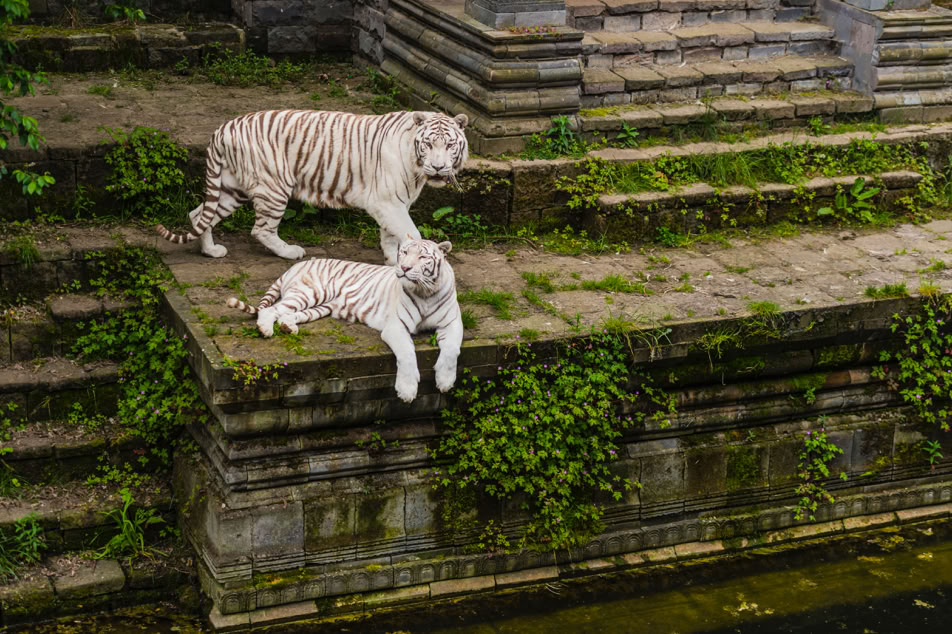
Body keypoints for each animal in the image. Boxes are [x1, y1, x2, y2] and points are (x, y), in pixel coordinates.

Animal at [155, 109, 469, 264]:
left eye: (449, 145)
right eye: (428, 143)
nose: (438, 167)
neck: (416, 167)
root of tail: (224, 128)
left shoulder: (393, 204)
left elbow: (392, 235)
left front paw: (394, 260)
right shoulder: (387, 202)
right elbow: (410, 233)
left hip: (232, 188)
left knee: (198, 214)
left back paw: (210, 251)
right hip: (274, 187)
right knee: (261, 229)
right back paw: (290, 252)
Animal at [226, 238, 462, 403]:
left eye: (422, 257)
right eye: (404, 253)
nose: (404, 268)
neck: (425, 292)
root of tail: (295, 266)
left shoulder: (453, 324)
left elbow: (452, 350)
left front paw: (445, 382)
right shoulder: (396, 326)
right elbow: (407, 353)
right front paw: (407, 391)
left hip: (319, 307)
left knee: (285, 314)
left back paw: (287, 327)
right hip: (309, 293)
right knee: (270, 310)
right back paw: (266, 330)